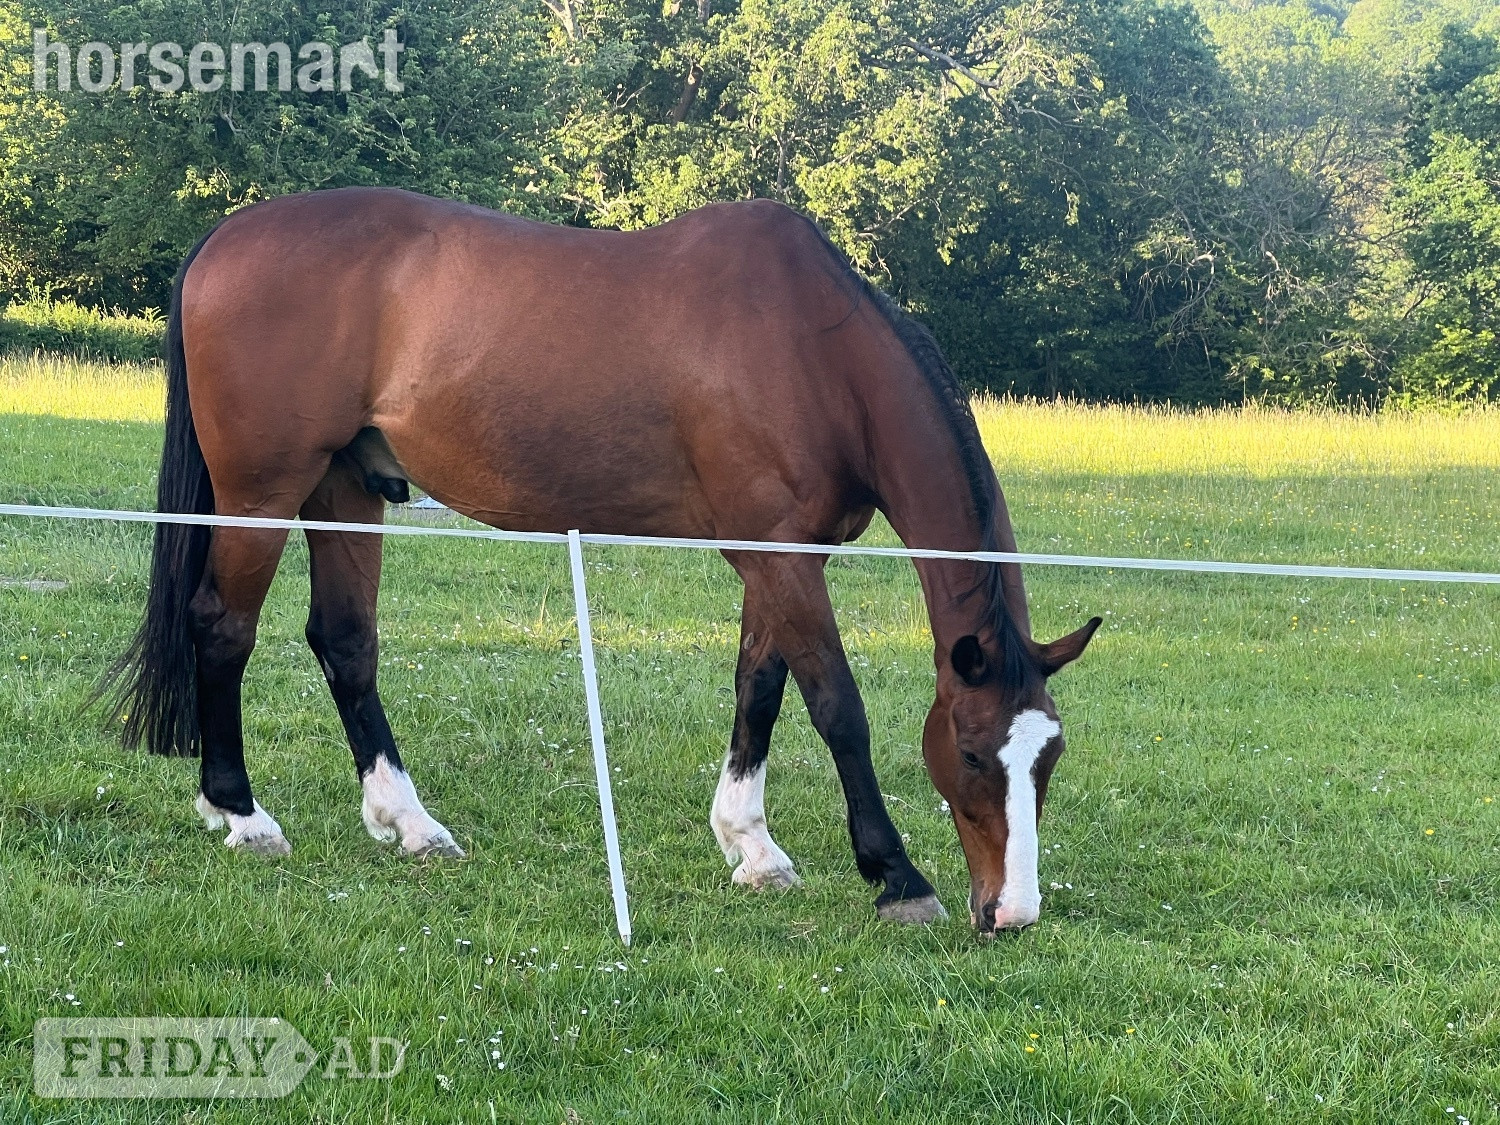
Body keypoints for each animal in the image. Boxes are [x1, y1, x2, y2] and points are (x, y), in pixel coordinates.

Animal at [104, 187, 1099, 933]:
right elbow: (836, 707)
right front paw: (895, 873)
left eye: (1047, 758)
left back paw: (411, 824)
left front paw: (751, 845)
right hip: (263, 492)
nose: (1010, 911)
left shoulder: (777, 557)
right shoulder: (781, 557)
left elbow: (760, 689)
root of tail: (225, 236)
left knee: (345, 643)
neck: (814, 351)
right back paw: (241, 813)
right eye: (969, 753)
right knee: (223, 629)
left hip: (345, 488)